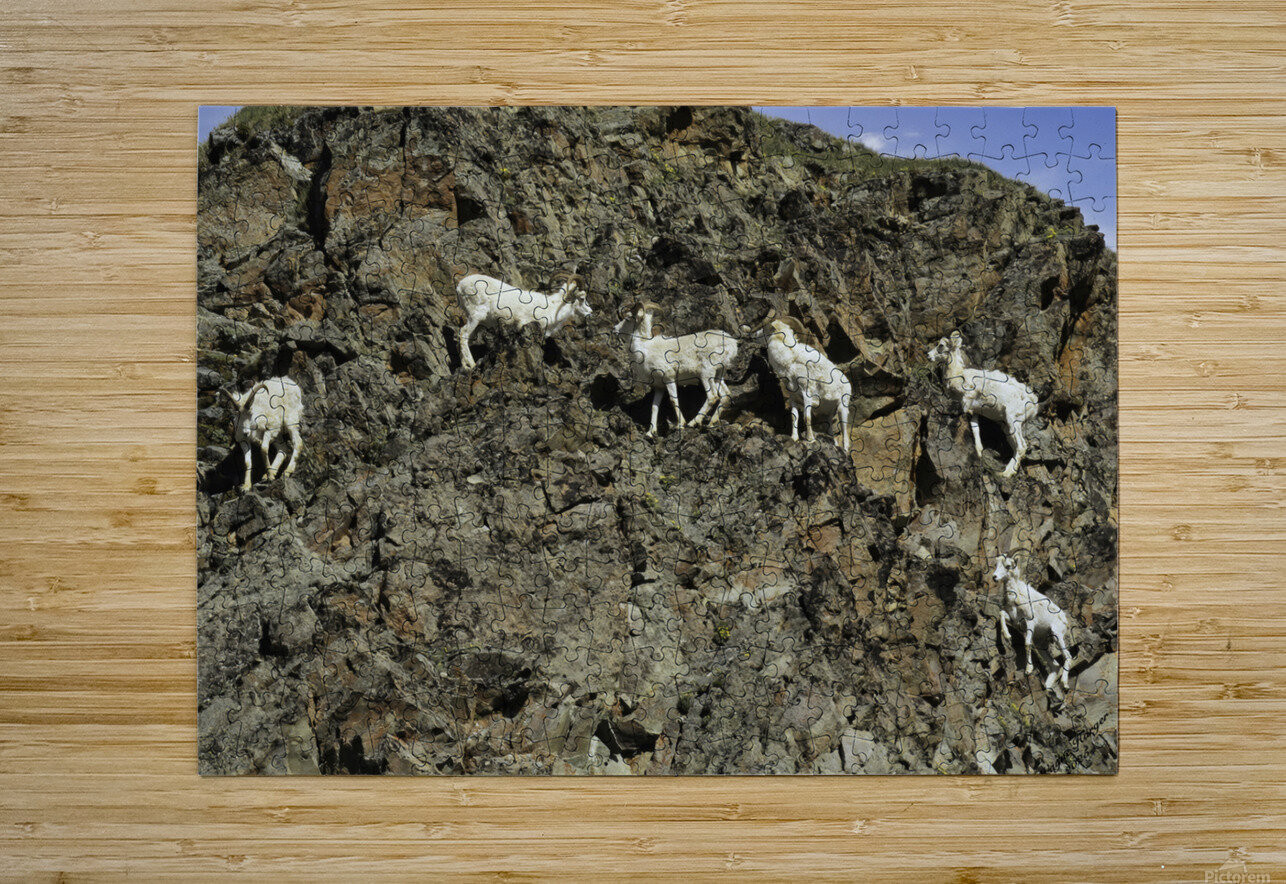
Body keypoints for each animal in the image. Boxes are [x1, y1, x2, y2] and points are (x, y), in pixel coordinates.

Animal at [455, 271, 592, 369]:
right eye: (581, 298)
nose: (590, 312)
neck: (552, 309)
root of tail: (460, 286)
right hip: (476, 316)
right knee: (463, 333)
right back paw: (470, 365)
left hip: (479, 323)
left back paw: (464, 364)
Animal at [613, 301, 738, 438]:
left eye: (628, 318)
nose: (615, 329)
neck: (645, 349)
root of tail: (731, 343)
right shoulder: (659, 387)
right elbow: (654, 407)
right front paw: (650, 433)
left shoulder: (669, 379)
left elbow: (673, 400)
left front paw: (680, 424)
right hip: (718, 375)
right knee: (725, 396)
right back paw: (710, 423)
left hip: (706, 374)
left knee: (712, 396)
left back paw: (692, 422)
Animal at [747, 309, 851, 453]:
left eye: (765, 328)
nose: (753, 336)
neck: (790, 362)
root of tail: (847, 384)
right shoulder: (793, 398)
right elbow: (794, 417)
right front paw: (794, 438)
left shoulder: (807, 394)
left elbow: (807, 417)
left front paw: (810, 439)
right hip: (829, 414)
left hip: (842, 408)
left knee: (845, 430)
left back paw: (845, 451)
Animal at [927, 331, 1038, 478]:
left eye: (941, 345)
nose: (928, 355)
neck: (958, 375)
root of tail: (1034, 405)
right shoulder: (974, 412)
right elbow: (975, 429)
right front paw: (979, 452)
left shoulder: (968, 401)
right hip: (1007, 426)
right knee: (1015, 448)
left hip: (1013, 420)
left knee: (1021, 447)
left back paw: (1007, 474)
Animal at [993, 554, 1073, 693]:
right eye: (996, 564)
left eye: (1008, 566)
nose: (994, 577)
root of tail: (1064, 619)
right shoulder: (1014, 621)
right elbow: (1001, 614)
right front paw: (1007, 636)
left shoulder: (1029, 623)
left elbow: (1027, 644)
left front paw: (1028, 670)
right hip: (1041, 643)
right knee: (1055, 665)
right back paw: (1047, 688)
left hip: (1057, 635)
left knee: (1067, 657)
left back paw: (1064, 683)